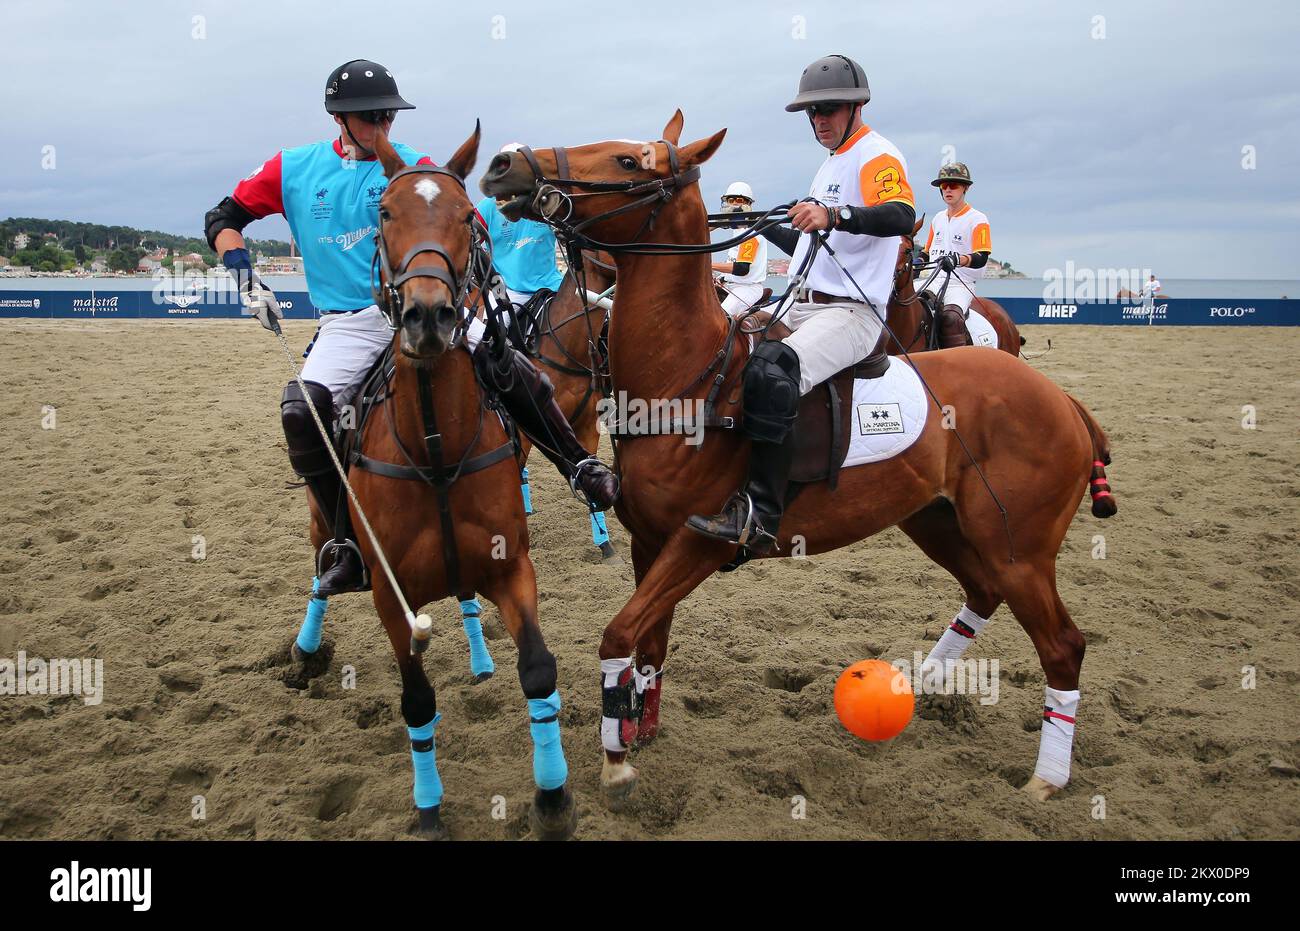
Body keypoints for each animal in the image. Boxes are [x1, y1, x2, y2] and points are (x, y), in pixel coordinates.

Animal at [301, 127, 577, 842]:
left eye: (465, 217)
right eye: (384, 214)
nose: (429, 316)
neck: (434, 447)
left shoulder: (512, 567)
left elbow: (538, 670)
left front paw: (553, 796)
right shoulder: (389, 597)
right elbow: (417, 701)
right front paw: (428, 808)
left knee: (465, 597)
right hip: (321, 518)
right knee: (318, 570)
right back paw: (306, 648)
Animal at [483, 107, 1123, 806]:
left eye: (630, 161)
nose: (505, 164)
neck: (688, 376)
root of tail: (1063, 399)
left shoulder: (699, 542)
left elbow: (620, 634)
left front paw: (615, 759)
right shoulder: (648, 541)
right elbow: (650, 644)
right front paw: (638, 730)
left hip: (1019, 547)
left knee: (1063, 644)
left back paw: (1046, 777)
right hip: (935, 519)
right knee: (983, 591)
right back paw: (921, 683)